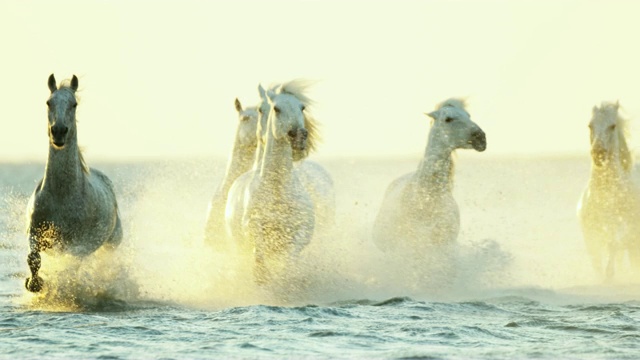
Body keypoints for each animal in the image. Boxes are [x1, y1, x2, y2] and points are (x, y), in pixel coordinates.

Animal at [25, 74, 123, 292]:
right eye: (49, 102)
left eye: (74, 104)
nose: (59, 131)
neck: (61, 195)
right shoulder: (36, 233)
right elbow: (33, 259)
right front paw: (34, 284)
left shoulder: (77, 245)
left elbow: (70, 269)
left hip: (112, 242)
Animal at [225, 82, 320, 284]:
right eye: (277, 108)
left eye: (302, 107)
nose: (299, 137)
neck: (277, 190)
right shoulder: (251, 226)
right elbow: (259, 248)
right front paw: (262, 276)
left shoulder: (302, 231)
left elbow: (290, 256)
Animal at [576, 101, 640, 278]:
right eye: (590, 125)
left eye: (612, 126)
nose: (598, 153)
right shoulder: (590, 235)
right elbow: (596, 261)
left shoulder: (620, 231)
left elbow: (612, 248)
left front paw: (609, 276)